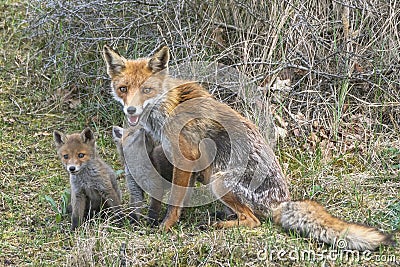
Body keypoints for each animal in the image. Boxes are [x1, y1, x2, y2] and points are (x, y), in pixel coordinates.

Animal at [102, 45, 394, 252]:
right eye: (123, 89)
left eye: (147, 90)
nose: (131, 110)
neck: (166, 107)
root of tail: (280, 202)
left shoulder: (187, 157)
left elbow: (174, 201)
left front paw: (165, 228)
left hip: (219, 180)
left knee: (253, 221)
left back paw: (218, 224)